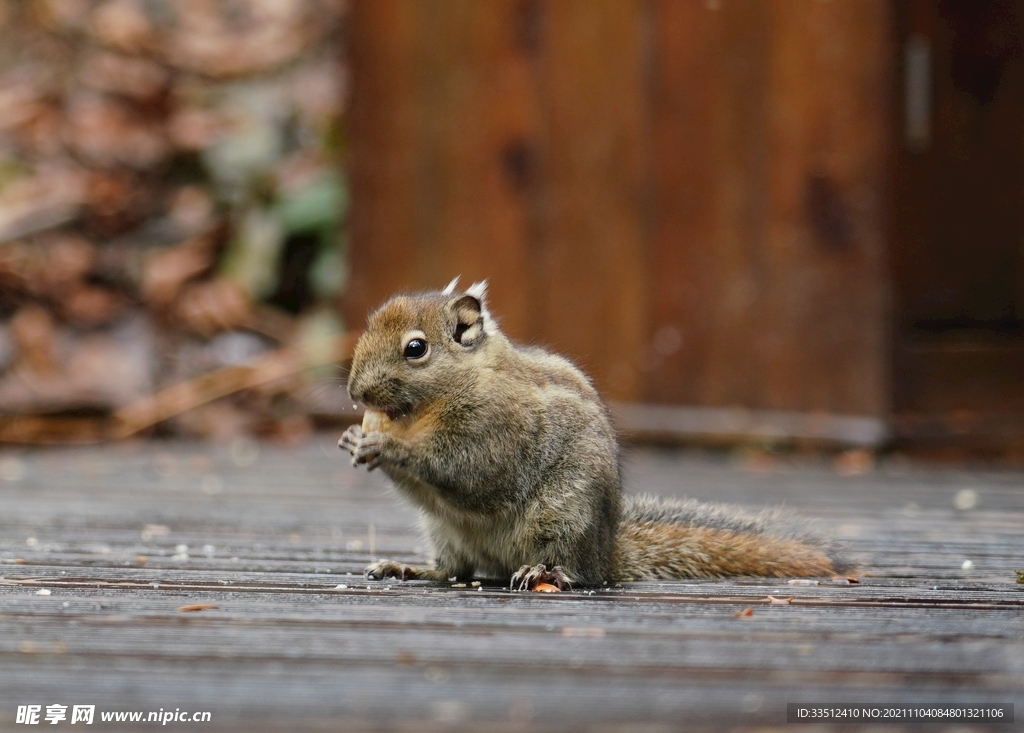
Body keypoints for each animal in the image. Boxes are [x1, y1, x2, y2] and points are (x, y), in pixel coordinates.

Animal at [337, 278, 847, 589]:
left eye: (415, 348)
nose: (354, 391)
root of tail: (607, 550)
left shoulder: (497, 429)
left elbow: (463, 467)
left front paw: (386, 445)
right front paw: (353, 439)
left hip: (565, 514)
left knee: (577, 569)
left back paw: (548, 572)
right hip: (444, 530)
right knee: (453, 570)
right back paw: (412, 568)